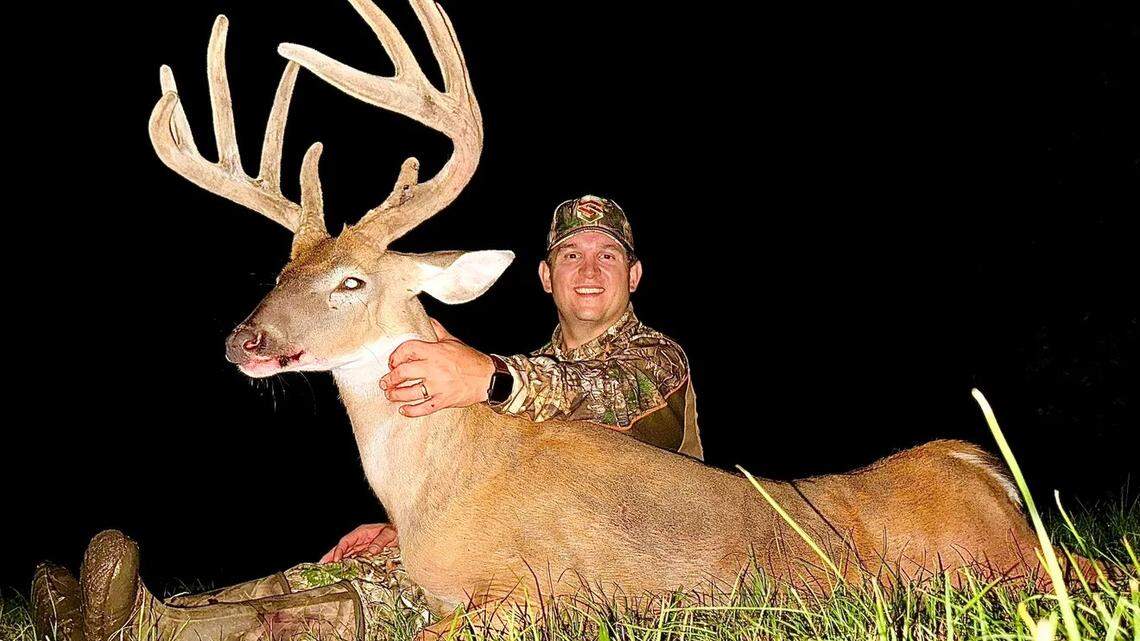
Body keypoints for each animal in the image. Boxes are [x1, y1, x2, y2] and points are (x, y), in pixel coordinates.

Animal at [146, 0, 1081, 636]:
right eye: (278, 271)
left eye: (350, 280)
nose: (244, 340)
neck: (440, 480)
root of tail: (983, 466)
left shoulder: (538, 589)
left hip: (1010, 564)